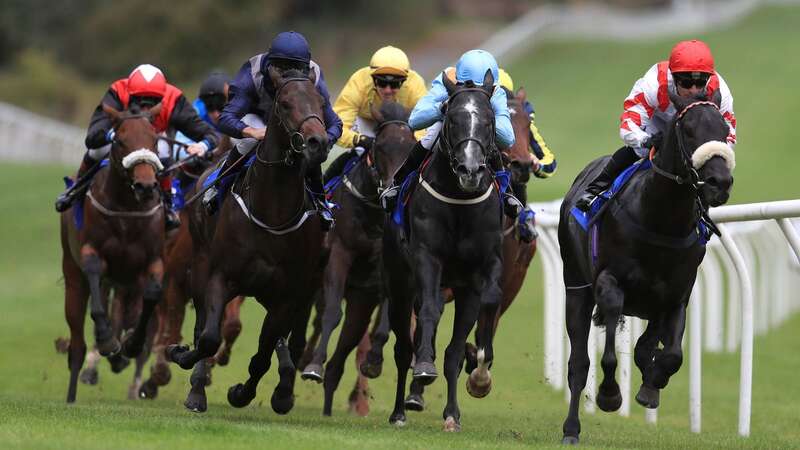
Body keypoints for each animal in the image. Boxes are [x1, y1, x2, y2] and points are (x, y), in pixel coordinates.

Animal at [62, 103, 169, 402]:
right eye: (120, 141)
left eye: (154, 140)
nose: (146, 186)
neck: (126, 210)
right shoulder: (92, 252)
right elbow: (97, 292)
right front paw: (108, 340)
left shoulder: (153, 260)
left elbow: (152, 296)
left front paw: (131, 343)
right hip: (72, 273)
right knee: (77, 343)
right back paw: (72, 395)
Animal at [167, 68, 330, 414]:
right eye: (284, 103)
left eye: (321, 102)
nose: (318, 142)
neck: (273, 210)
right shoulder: (220, 276)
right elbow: (208, 338)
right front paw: (182, 358)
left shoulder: (287, 294)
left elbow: (263, 356)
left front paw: (243, 393)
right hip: (200, 266)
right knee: (202, 326)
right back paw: (195, 385)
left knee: (286, 341)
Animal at [298, 101, 416, 414]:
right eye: (380, 146)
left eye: (412, 148)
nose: (392, 187)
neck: (373, 213)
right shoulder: (340, 253)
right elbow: (330, 314)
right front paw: (313, 365)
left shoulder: (388, 270)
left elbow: (386, 322)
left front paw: (374, 361)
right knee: (312, 321)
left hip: (360, 302)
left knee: (344, 349)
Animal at [384, 68, 504, 430]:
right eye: (451, 119)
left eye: (490, 120)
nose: (470, 169)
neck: (460, 201)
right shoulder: (427, 258)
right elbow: (426, 313)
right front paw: (425, 367)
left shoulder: (479, 273)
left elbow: (462, 340)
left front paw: (474, 384)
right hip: (398, 283)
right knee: (403, 347)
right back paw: (399, 410)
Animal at [560, 89, 736, 444]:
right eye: (689, 130)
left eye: (725, 130)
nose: (719, 182)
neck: (662, 220)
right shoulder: (610, 284)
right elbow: (609, 354)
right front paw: (610, 395)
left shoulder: (675, 296)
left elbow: (670, 354)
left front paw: (652, 387)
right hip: (576, 288)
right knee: (579, 364)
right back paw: (571, 428)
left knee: (644, 347)